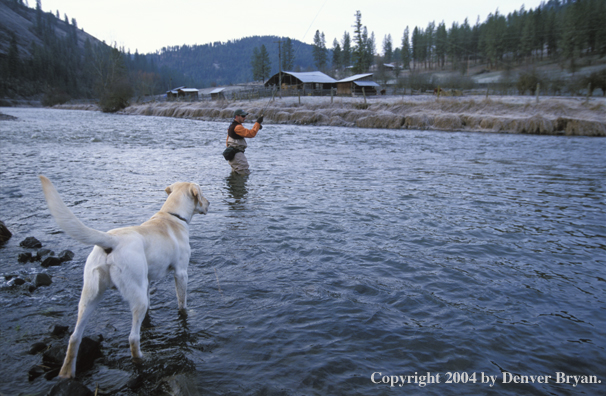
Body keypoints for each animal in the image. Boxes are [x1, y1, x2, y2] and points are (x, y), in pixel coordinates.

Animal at [38, 176, 209, 378]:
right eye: (202, 194)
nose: (209, 204)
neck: (172, 215)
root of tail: (111, 241)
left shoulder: (147, 281)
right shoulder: (181, 272)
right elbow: (182, 303)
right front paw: (187, 312)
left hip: (90, 296)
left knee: (74, 337)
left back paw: (66, 373)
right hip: (134, 296)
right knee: (133, 338)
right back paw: (143, 359)